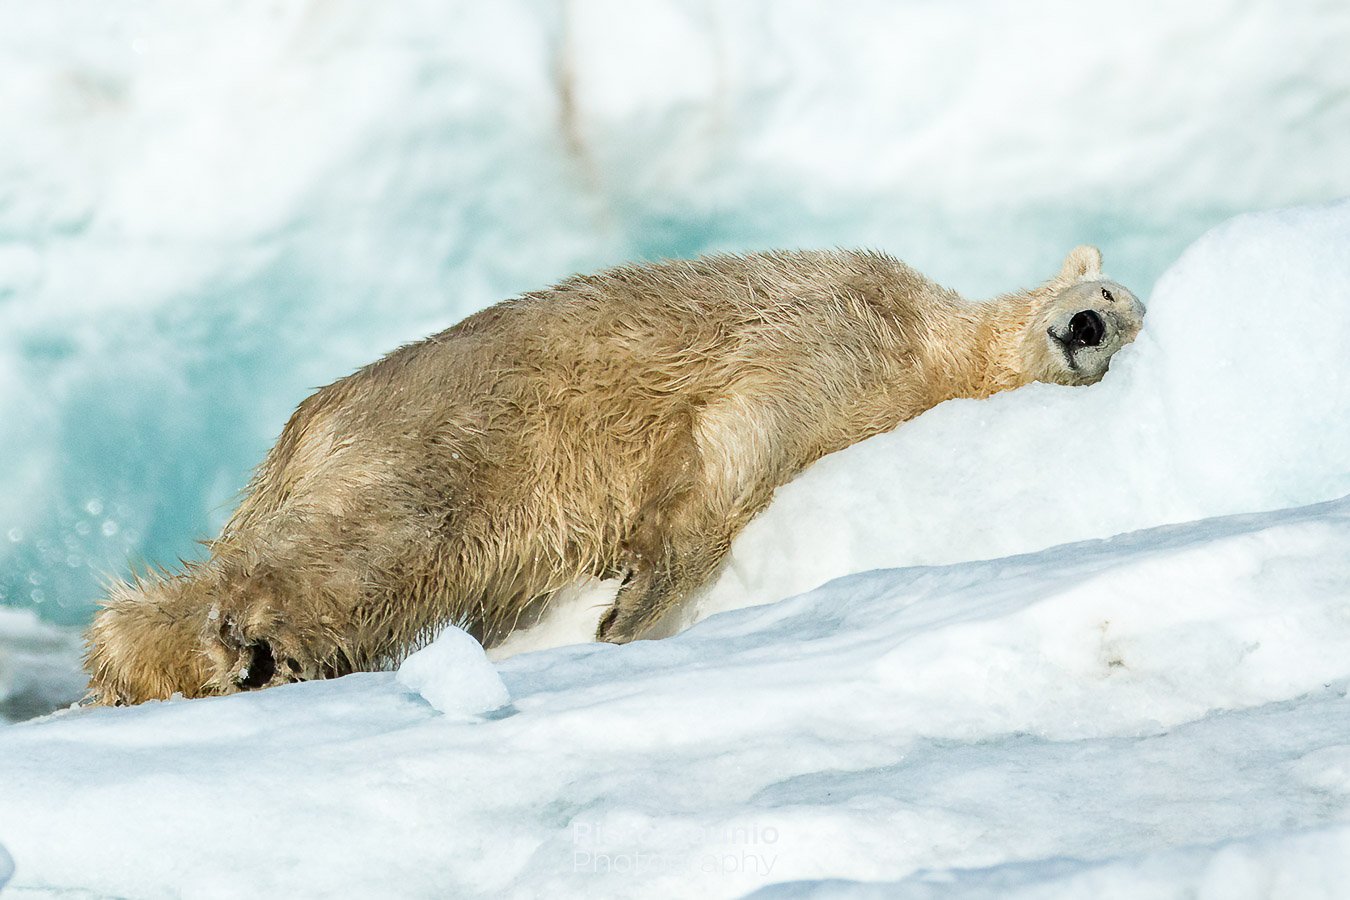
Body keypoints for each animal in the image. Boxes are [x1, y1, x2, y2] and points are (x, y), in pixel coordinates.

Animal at [84, 246, 1144, 704]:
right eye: (1108, 291)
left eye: (1133, 324)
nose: (1093, 326)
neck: (935, 341)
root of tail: (301, 430)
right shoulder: (838, 330)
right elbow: (734, 445)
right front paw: (627, 616)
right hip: (445, 443)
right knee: (361, 549)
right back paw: (228, 651)